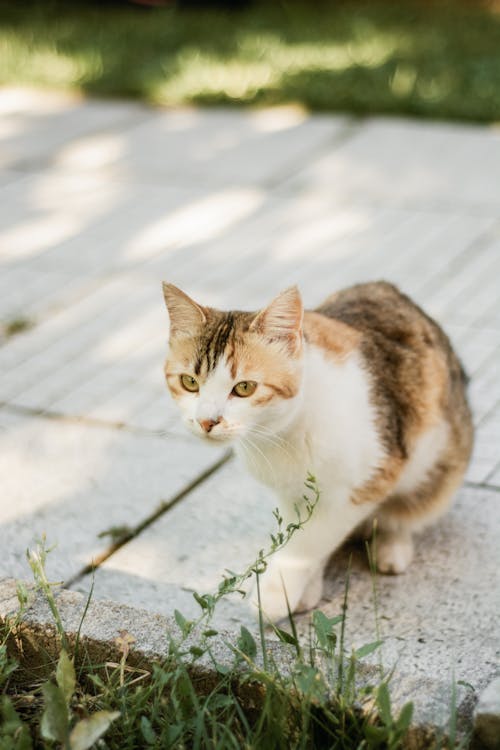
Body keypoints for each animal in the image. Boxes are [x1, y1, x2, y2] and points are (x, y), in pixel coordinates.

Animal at [163, 282, 472, 624]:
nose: (207, 421)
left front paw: (276, 594)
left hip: (438, 461)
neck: (284, 432)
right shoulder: (289, 492)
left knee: (411, 507)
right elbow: (304, 534)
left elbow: (309, 543)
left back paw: (392, 546)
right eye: (189, 382)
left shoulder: (364, 485)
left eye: (244, 388)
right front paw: (306, 591)